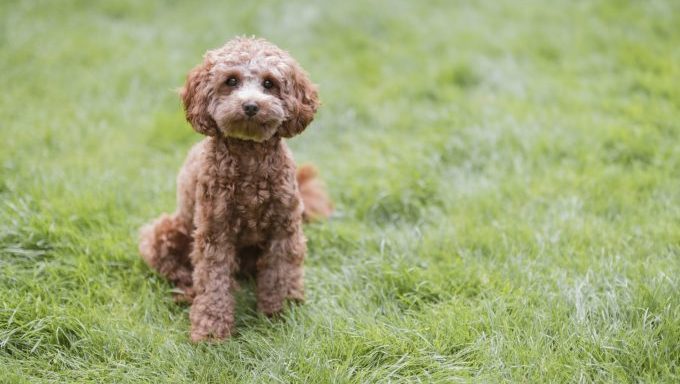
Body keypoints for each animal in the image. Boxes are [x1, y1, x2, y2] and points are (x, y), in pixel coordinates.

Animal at [139, 37, 332, 340]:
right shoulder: (214, 232)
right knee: (179, 271)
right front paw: (211, 330)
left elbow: (279, 272)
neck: (249, 156)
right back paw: (187, 294)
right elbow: (213, 280)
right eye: (231, 81)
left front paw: (278, 315)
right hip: (165, 232)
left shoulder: (284, 228)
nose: (251, 106)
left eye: (269, 83)